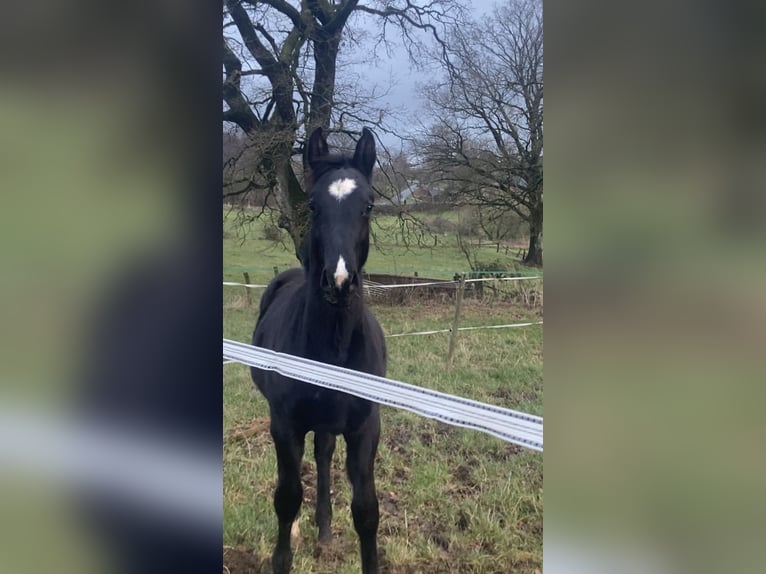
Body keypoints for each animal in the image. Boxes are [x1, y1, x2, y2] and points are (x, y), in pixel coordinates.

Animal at [252, 129, 388, 574]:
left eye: (368, 205)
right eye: (313, 205)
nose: (339, 282)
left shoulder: (365, 428)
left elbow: (367, 511)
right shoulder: (285, 425)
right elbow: (287, 498)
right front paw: (281, 561)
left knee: (325, 456)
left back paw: (326, 532)